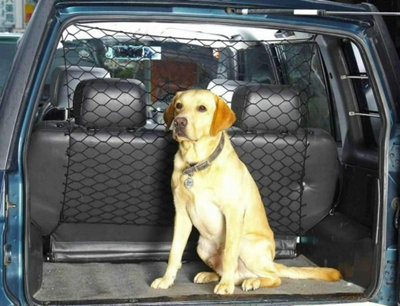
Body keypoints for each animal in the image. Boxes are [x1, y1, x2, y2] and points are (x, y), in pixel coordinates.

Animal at [150, 89, 340, 296]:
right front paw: (167, 280)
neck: (197, 163)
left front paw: (226, 286)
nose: (179, 122)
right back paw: (212, 275)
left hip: (246, 243)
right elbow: (174, 252)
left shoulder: (232, 212)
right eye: (179, 106)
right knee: (231, 272)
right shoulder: (182, 214)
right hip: (203, 247)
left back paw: (251, 281)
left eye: (202, 108)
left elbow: (229, 254)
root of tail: (271, 263)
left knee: (273, 277)